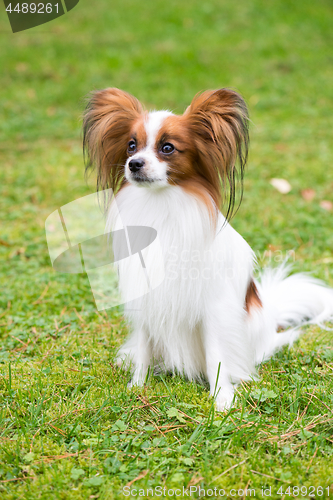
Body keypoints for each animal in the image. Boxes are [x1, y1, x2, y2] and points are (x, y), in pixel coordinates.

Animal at [82, 89, 332, 410]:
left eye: (167, 148)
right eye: (131, 146)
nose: (134, 163)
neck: (161, 206)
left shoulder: (213, 307)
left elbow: (216, 356)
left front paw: (222, 398)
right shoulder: (147, 299)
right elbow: (144, 348)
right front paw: (137, 385)